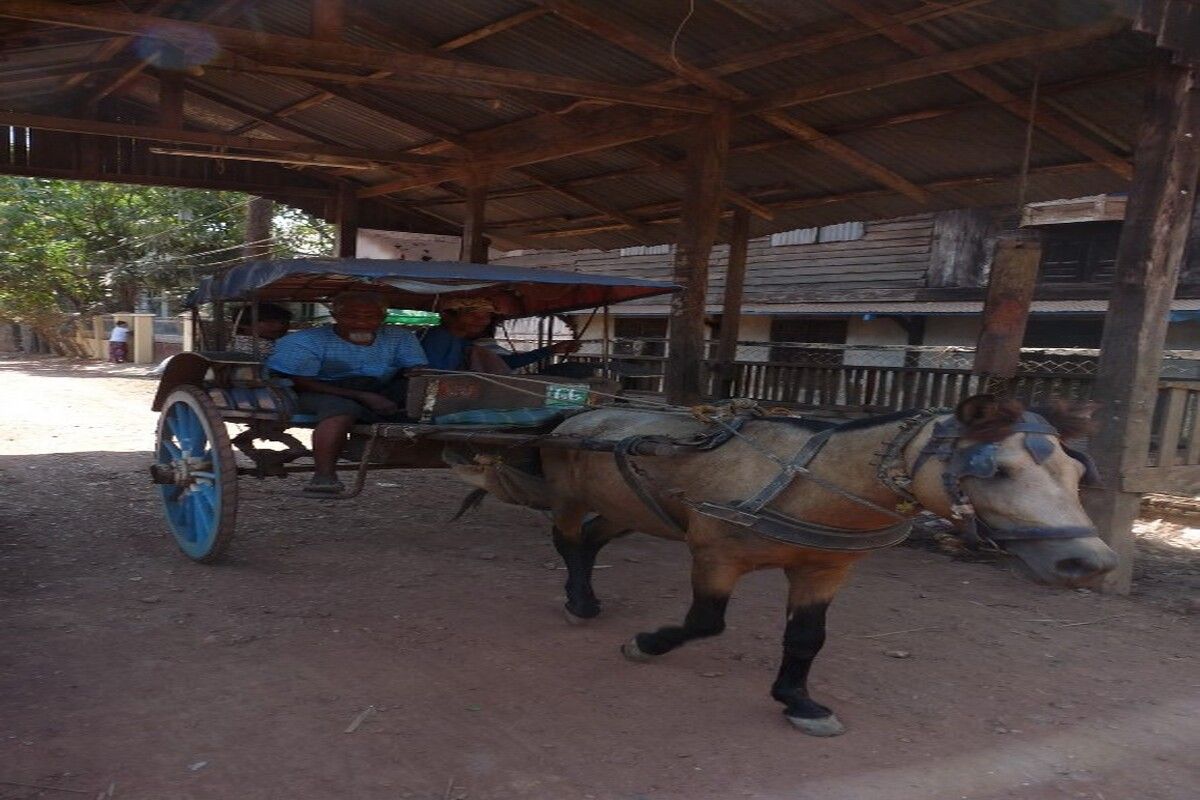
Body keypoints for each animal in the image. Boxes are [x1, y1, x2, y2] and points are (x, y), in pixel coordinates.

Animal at [449, 395, 1118, 735]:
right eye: (996, 470)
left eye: (1077, 471)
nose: (1088, 562)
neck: (807, 487)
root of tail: (577, 416)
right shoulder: (714, 554)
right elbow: (706, 623)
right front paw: (646, 643)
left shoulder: (825, 569)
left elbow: (806, 638)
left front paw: (797, 700)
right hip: (569, 495)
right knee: (566, 540)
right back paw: (578, 600)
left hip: (630, 508)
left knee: (590, 542)